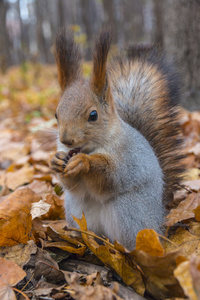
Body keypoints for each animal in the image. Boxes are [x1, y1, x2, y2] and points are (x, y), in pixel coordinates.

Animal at [49, 28, 185, 248]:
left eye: (93, 115)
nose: (66, 140)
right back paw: (83, 241)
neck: (91, 147)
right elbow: (72, 185)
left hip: (129, 212)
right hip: (76, 209)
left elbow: (111, 175)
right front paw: (55, 160)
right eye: (56, 114)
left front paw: (84, 162)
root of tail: (159, 221)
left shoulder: (128, 158)